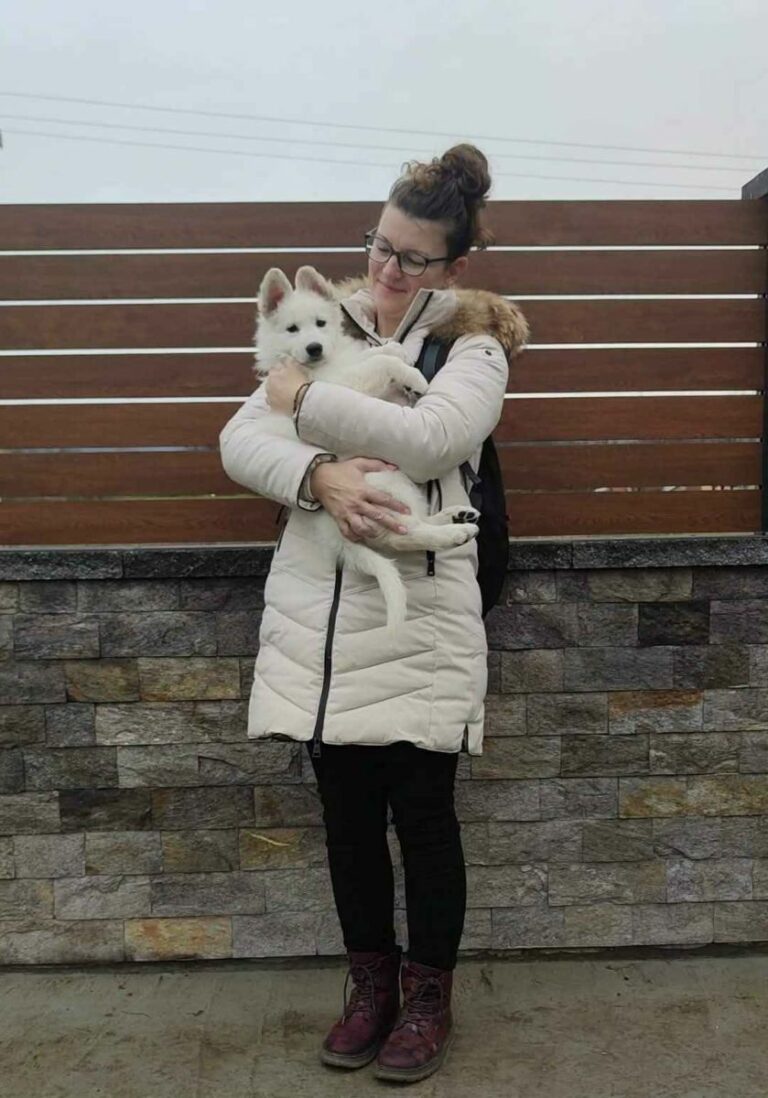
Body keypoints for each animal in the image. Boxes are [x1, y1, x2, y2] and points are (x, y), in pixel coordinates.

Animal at [254, 265, 479, 633]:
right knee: (403, 535)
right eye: (291, 329)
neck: (320, 367)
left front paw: (398, 353)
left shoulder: (347, 366)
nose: (314, 348)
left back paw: (454, 515)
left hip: (398, 482)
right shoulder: (337, 385)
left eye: (321, 323)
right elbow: (379, 365)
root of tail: (339, 540)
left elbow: (379, 355)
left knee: (411, 522)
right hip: (383, 482)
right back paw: (455, 532)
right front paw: (415, 377)